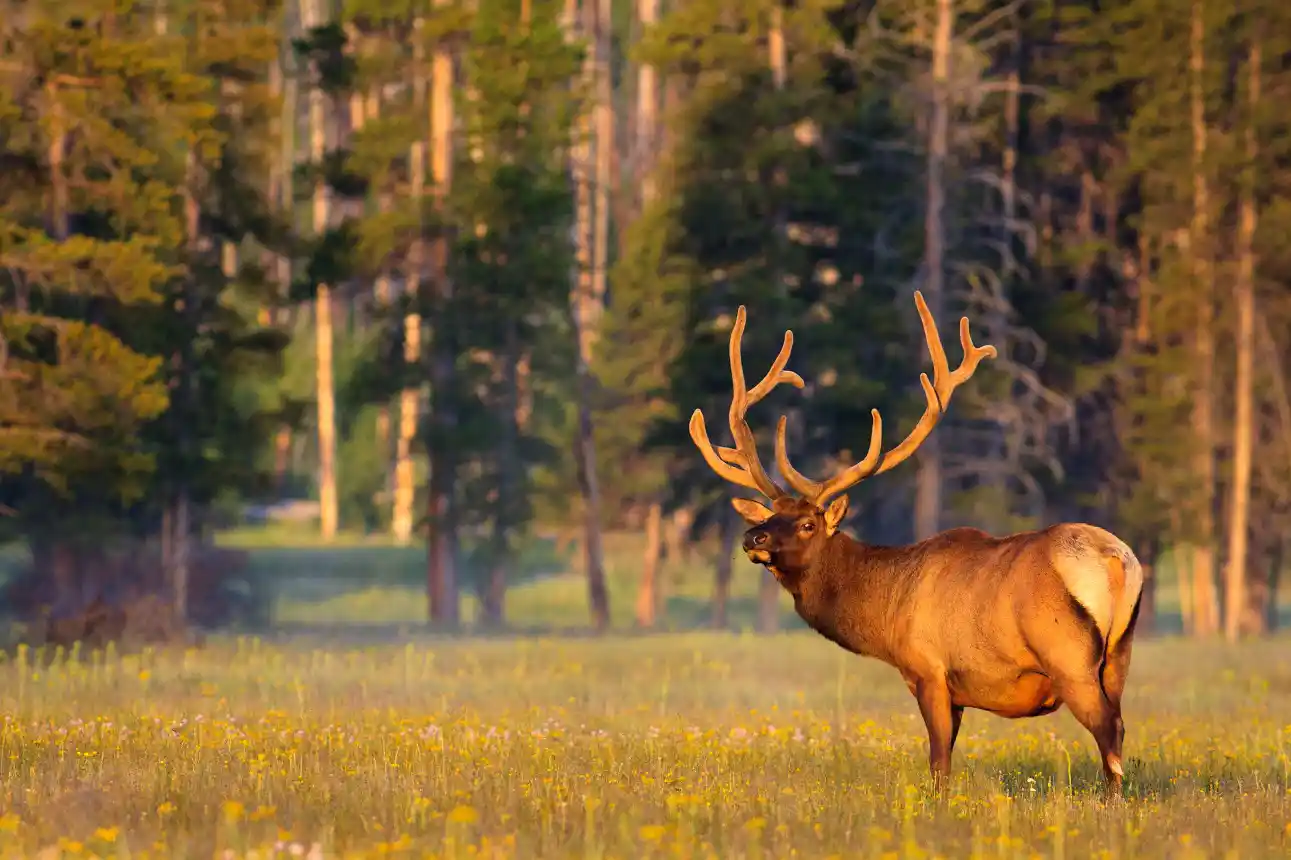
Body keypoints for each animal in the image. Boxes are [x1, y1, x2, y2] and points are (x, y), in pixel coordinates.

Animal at [688, 292, 1144, 799]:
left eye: (808, 524)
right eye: (768, 516)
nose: (754, 537)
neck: (886, 614)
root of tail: (1116, 559)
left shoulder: (929, 670)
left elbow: (939, 762)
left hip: (1069, 657)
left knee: (1107, 729)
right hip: (1119, 655)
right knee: (1119, 722)